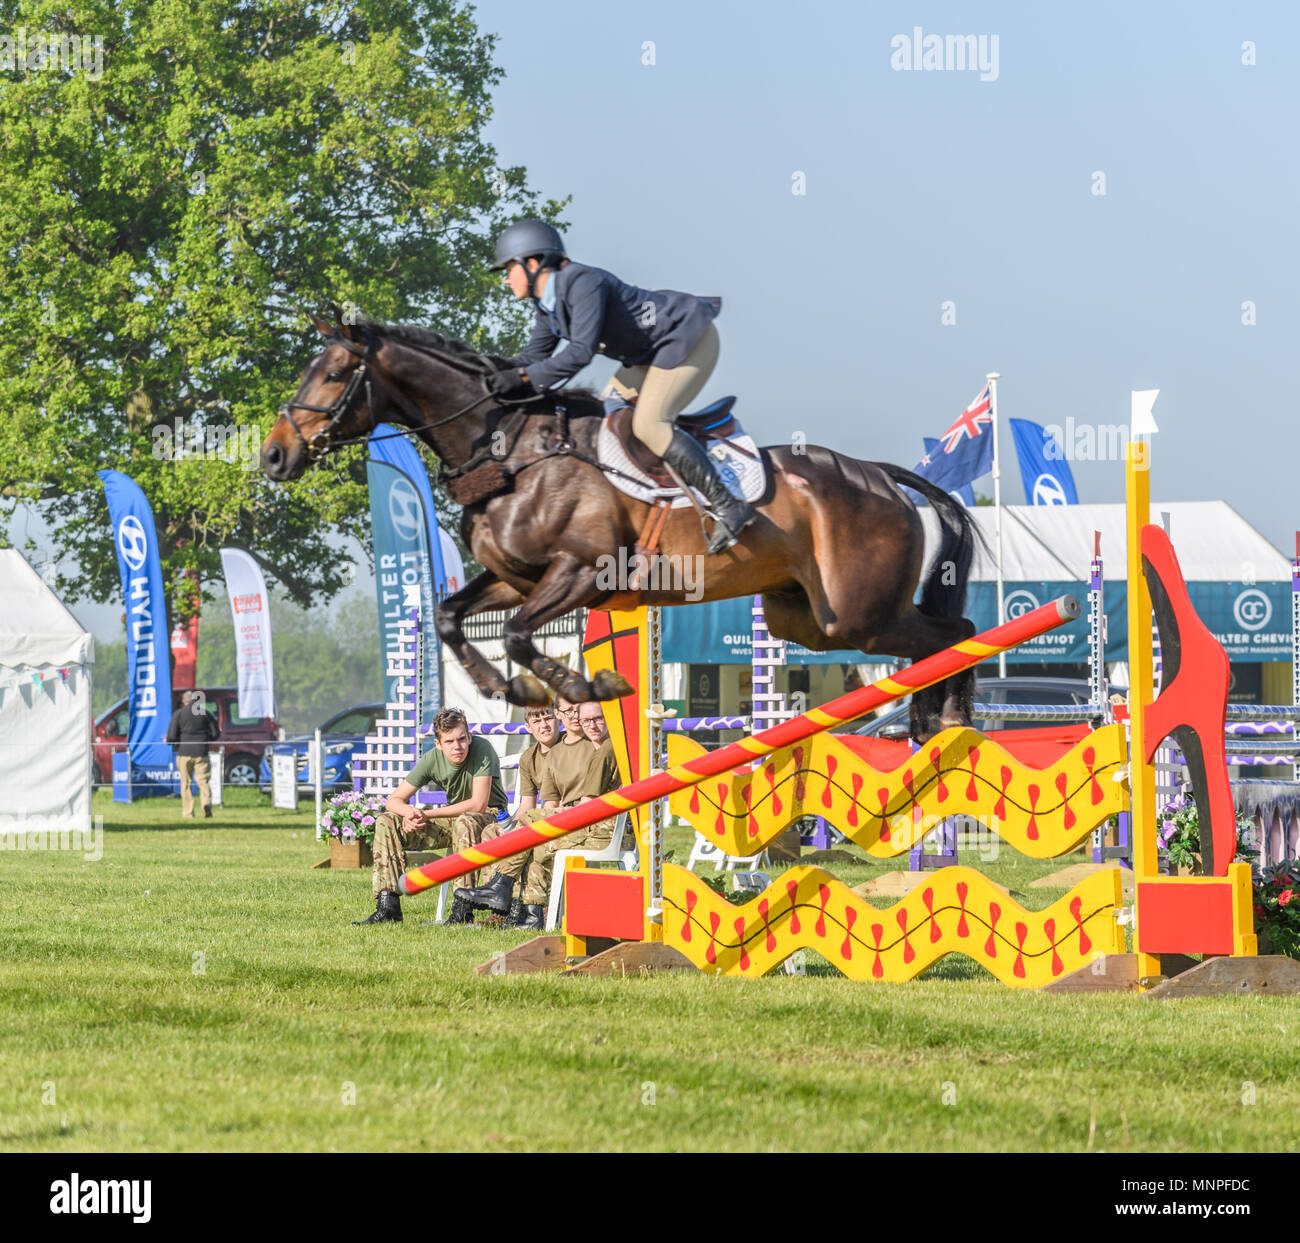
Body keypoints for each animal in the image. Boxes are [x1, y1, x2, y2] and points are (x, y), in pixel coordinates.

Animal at [261, 313, 977, 738]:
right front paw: (500, 686)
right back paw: (932, 723)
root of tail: (878, 476)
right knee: (936, 639)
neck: (508, 451)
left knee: (958, 632)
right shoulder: (517, 578)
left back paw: (949, 719)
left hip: (856, 616)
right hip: (803, 620)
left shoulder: (581, 573)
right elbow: (447, 616)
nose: (272, 455)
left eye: (333, 374)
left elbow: (518, 635)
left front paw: (587, 683)